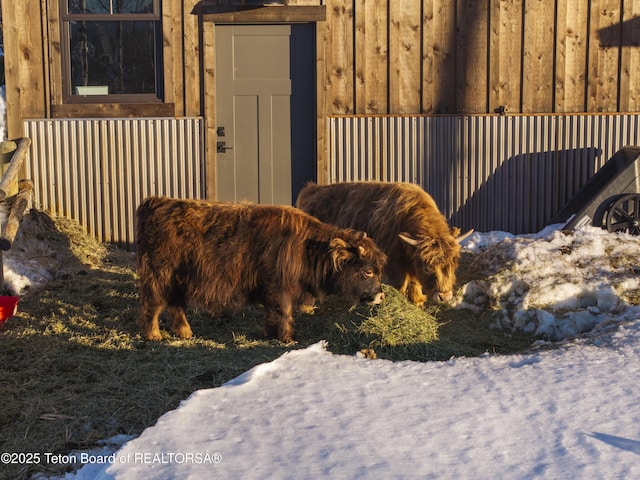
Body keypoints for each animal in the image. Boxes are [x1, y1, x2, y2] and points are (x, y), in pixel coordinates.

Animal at [135, 197, 384, 344]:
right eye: (368, 272)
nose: (380, 295)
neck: (306, 248)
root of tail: (155, 202)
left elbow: (272, 314)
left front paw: (270, 334)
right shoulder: (279, 289)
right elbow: (283, 312)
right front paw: (287, 338)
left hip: (178, 279)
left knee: (176, 304)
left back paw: (185, 332)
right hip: (158, 276)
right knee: (152, 305)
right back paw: (154, 335)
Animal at [296, 182, 470, 306]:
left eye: (453, 265)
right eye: (427, 268)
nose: (445, 296)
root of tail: (310, 190)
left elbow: (414, 285)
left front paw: (418, 301)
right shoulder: (394, 265)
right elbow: (400, 286)